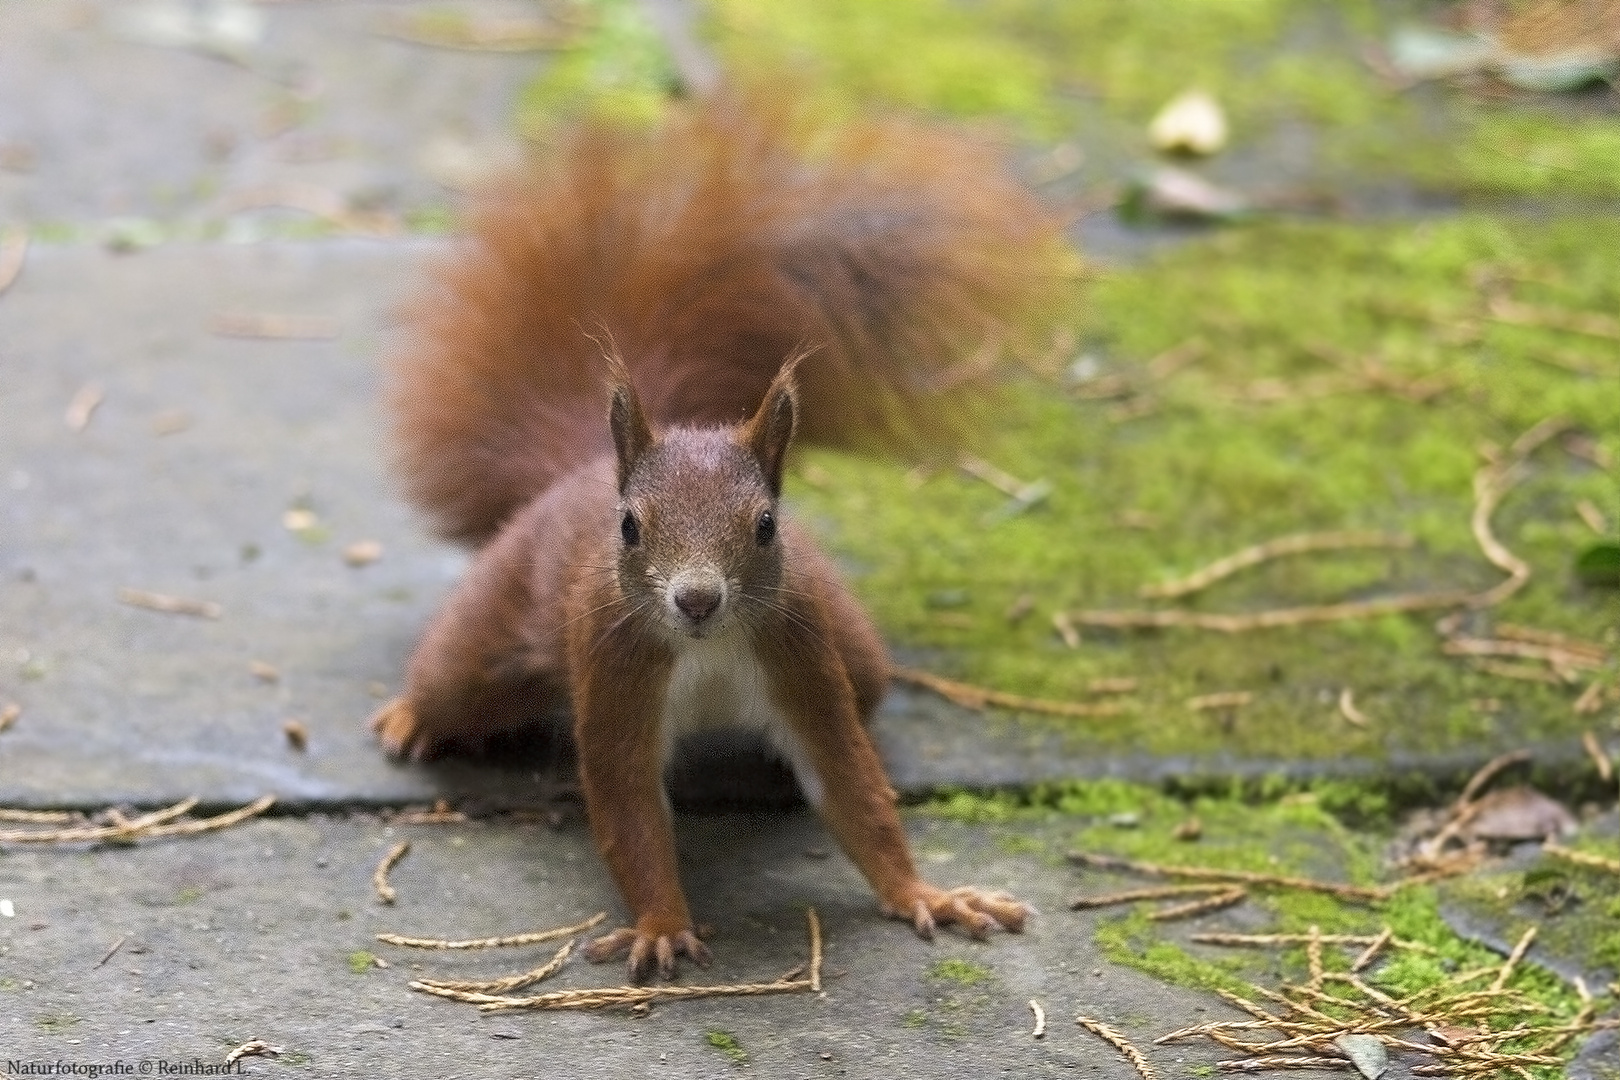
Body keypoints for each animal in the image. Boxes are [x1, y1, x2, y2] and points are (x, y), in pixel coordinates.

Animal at [372, 97, 1069, 984]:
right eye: (629, 526)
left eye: (768, 526)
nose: (697, 599)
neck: (707, 654)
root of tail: (580, 469)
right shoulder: (616, 671)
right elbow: (630, 810)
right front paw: (663, 923)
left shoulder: (804, 657)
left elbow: (853, 790)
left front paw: (927, 895)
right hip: (496, 622)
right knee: (452, 674)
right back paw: (410, 717)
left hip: (855, 651)